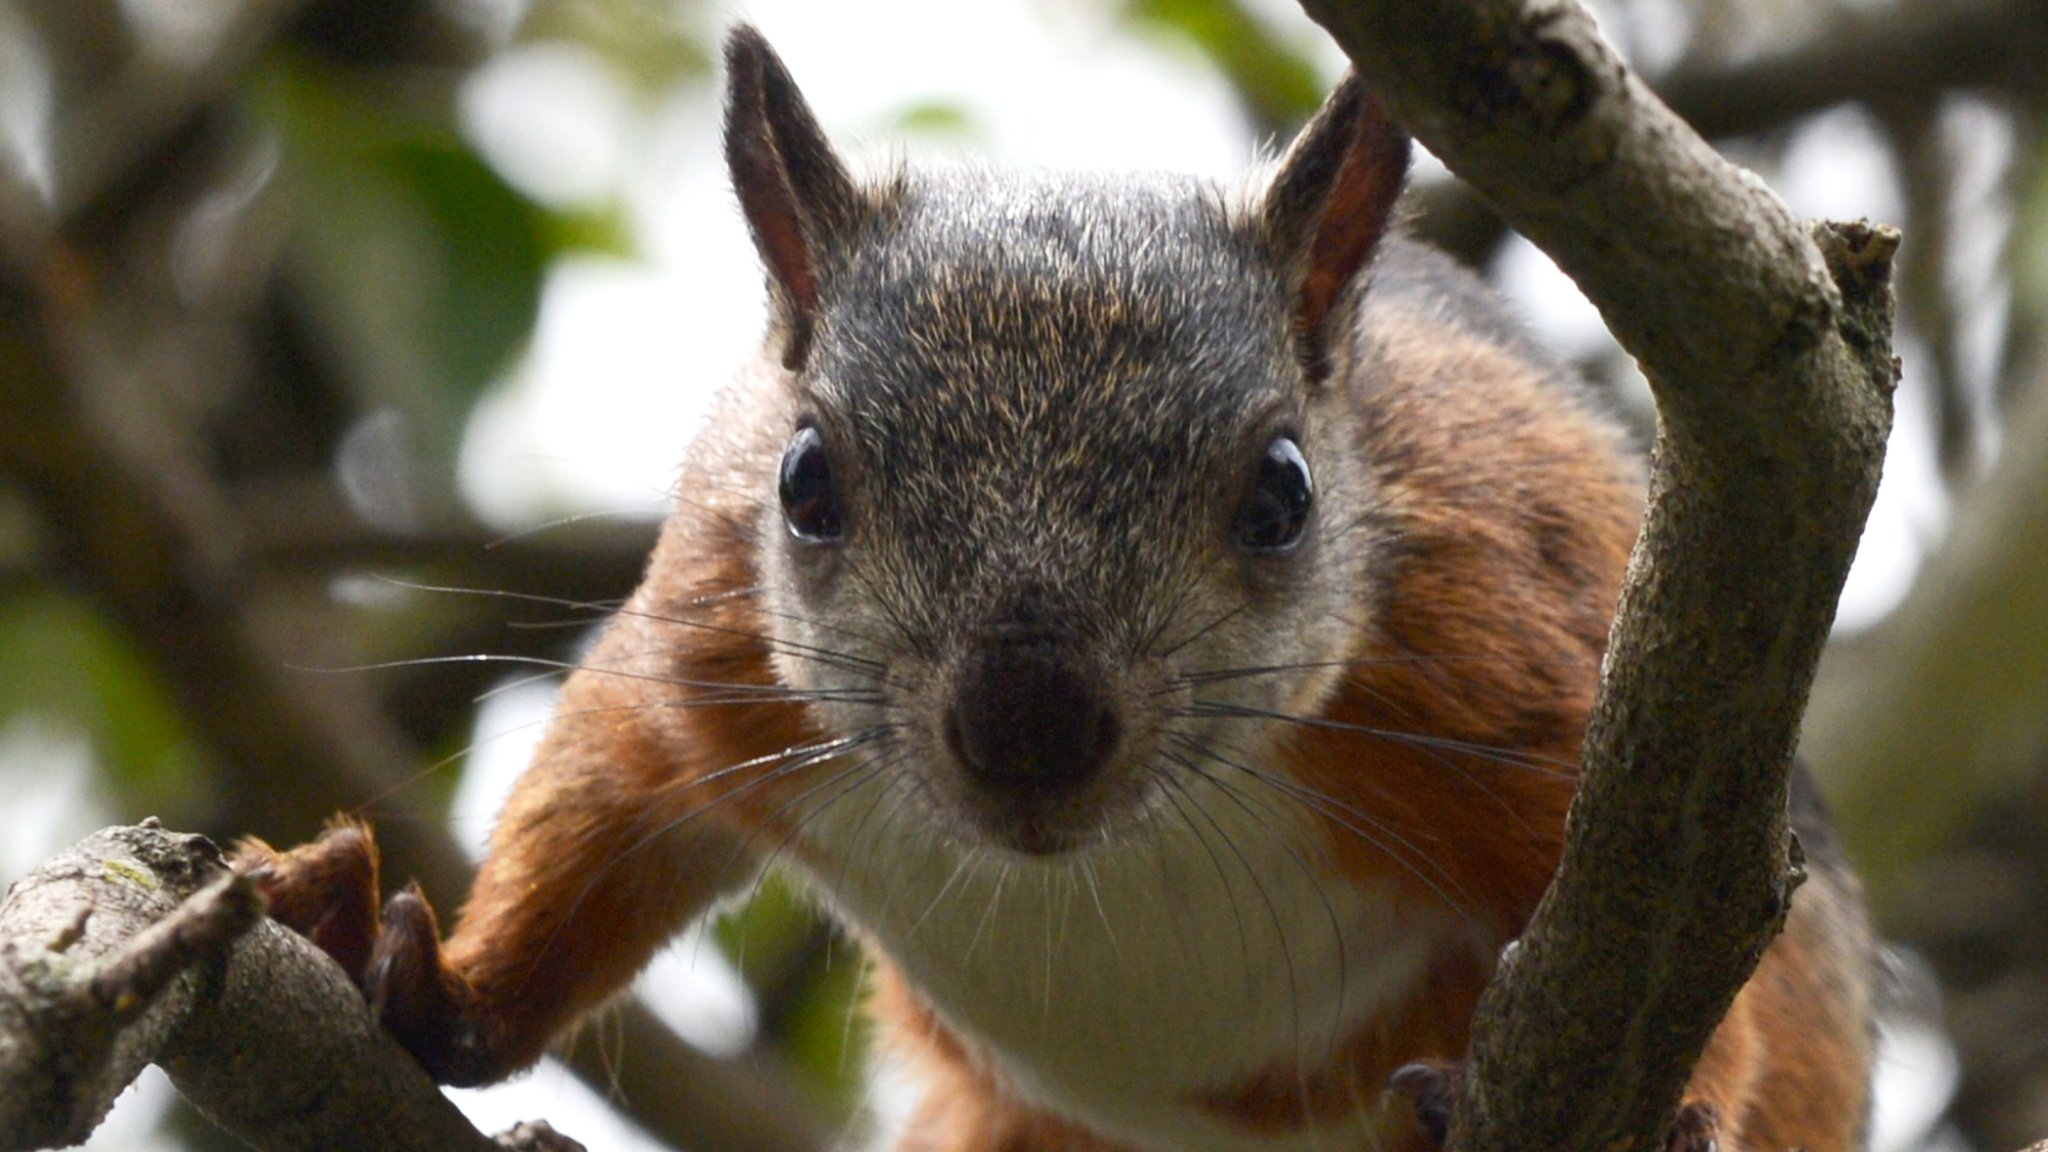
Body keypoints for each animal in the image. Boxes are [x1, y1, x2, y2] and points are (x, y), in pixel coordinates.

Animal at [235, 24, 1875, 1147]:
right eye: (803, 480)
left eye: (1284, 492)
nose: (1028, 724)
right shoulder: (710, 651)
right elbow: (605, 802)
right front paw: (423, 976)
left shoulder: (1509, 651)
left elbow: (1687, 935)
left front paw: (1674, 1110)